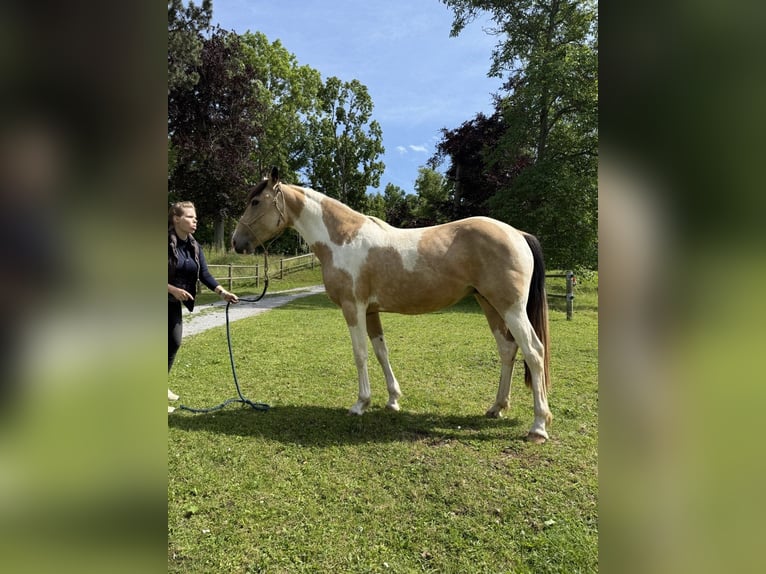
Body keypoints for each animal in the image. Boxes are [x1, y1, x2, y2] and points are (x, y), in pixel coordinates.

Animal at [232, 167, 553, 442]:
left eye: (256, 202)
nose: (237, 242)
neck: (342, 239)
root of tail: (518, 234)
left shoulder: (353, 307)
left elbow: (360, 353)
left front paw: (360, 403)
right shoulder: (372, 311)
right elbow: (380, 352)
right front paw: (392, 399)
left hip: (511, 308)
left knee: (534, 351)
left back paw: (538, 425)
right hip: (489, 305)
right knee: (508, 350)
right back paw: (497, 407)